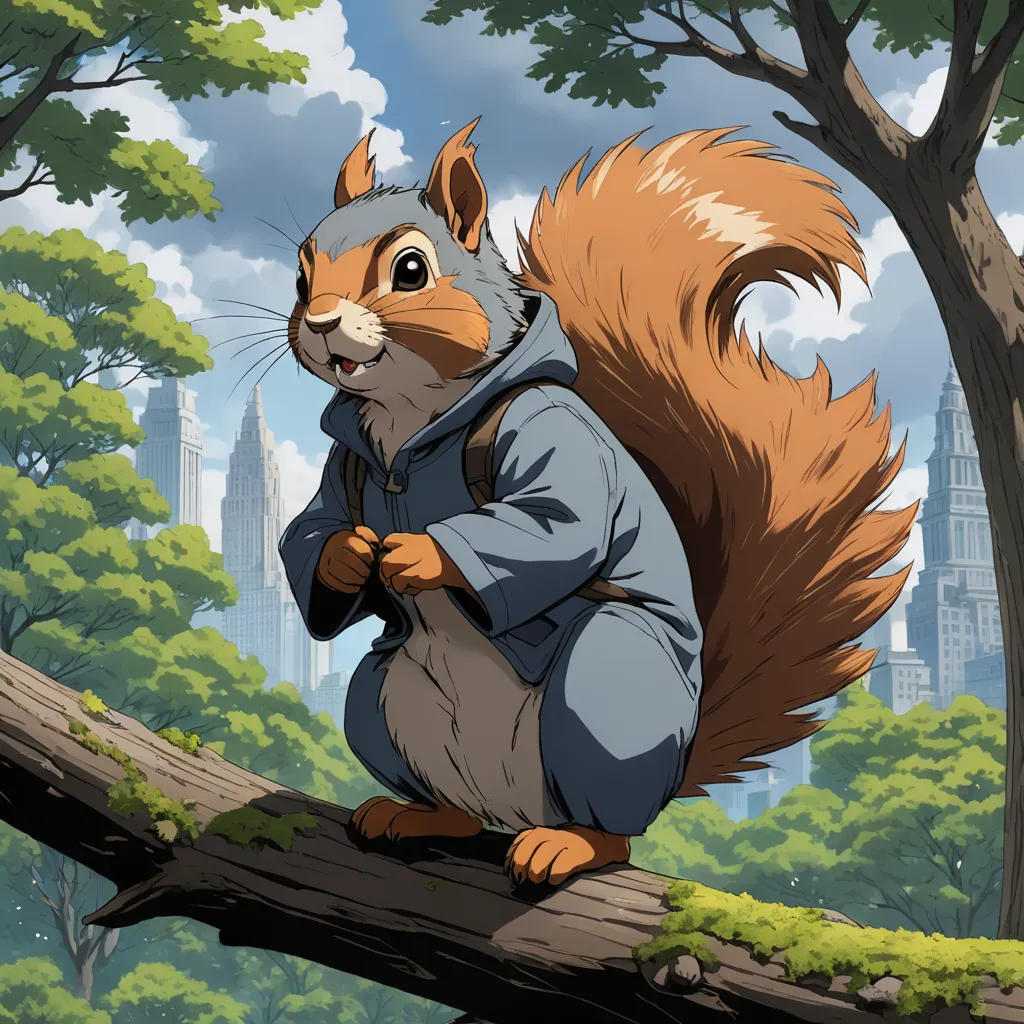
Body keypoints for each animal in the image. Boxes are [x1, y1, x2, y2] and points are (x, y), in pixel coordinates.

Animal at [279, 119, 917, 887]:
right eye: (301, 275)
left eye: (410, 269)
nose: (318, 322)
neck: (411, 418)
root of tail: (520, 805)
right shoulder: (344, 465)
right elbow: (311, 528)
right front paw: (346, 558)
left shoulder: (553, 432)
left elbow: (556, 522)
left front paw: (422, 554)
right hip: (379, 699)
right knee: (458, 808)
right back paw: (422, 815)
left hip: (605, 692)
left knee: (614, 829)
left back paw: (572, 845)